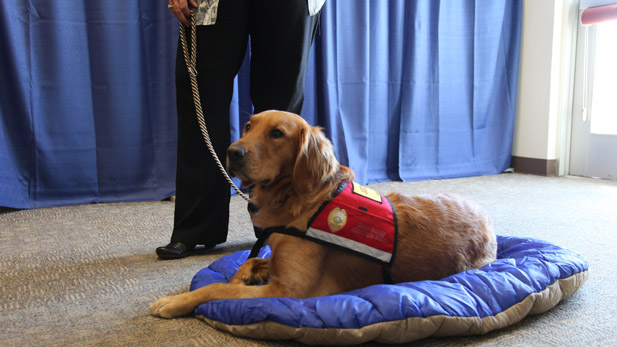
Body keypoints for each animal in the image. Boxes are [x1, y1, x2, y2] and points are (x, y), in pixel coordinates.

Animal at [152, 110, 498, 320]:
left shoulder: (288, 291)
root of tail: (488, 220)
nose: (232, 152)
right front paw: (246, 273)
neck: (297, 200)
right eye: (249, 126)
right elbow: (250, 261)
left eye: (277, 133)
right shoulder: (279, 262)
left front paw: (174, 302)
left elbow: (216, 289)